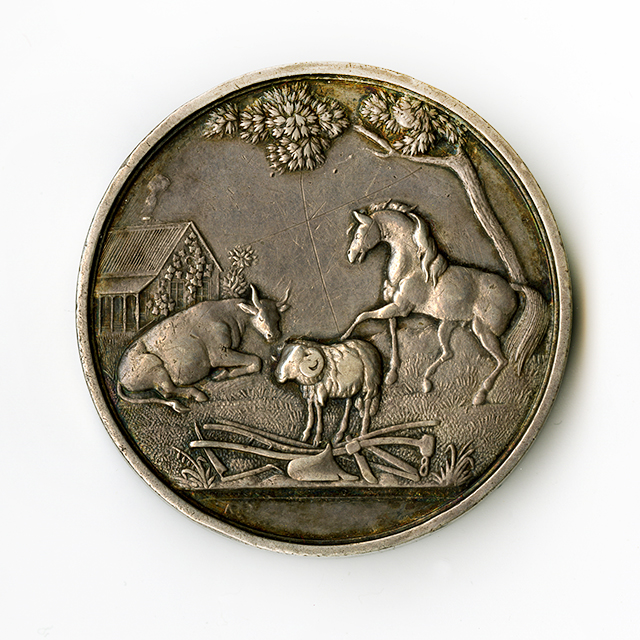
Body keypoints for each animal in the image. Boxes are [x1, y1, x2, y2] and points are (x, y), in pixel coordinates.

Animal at [117, 285, 289, 413]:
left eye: (277, 318)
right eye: (261, 318)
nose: (274, 335)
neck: (227, 315)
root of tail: (120, 375)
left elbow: (254, 362)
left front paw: (223, 373)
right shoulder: (219, 354)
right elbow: (256, 361)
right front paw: (223, 374)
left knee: (166, 392)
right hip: (155, 365)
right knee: (169, 388)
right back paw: (198, 395)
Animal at [341, 200, 548, 405]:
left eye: (358, 234)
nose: (350, 254)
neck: (410, 268)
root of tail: (513, 287)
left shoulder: (401, 308)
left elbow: (362, 315)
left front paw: (345, 337)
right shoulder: (395, 307)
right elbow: (391, 330)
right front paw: (392, 374)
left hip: (483, 329)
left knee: (501, 360)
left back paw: (479, 395)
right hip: (447, 323)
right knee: (448, 353)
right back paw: (426, 382)